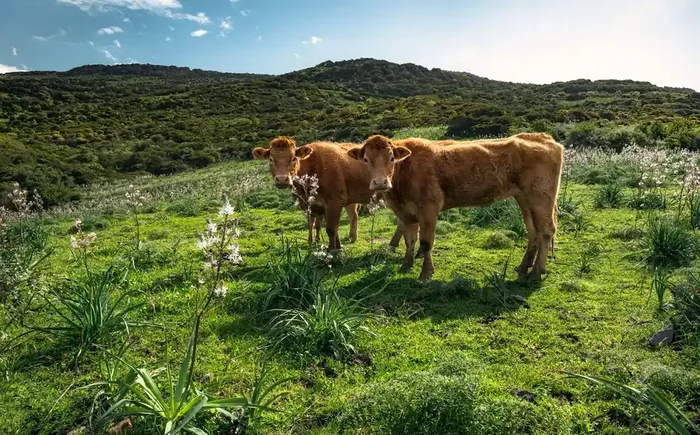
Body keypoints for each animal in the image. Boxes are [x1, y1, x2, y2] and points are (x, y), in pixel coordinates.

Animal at [252, 137, 403, 251]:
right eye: (271, 159)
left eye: (294, 158)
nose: (282, 179)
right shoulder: (318, 206)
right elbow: (326, 227)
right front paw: (337, 246)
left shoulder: (334, 202)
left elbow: (330, 229)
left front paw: (332, 251)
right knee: (354, 217)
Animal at [347, 133, 563, 282]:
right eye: (366, 160)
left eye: (392, 158)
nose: (380, 182)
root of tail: (543, 137)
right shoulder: (405, 212)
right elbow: (410, 241)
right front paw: (406, 266)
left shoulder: (430, 209)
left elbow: (426, 242)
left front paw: (426, 273)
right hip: (525, 199)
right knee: (533, 230)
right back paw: (524, 266)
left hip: (540, 197)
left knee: (546, 231)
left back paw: (535, 273)